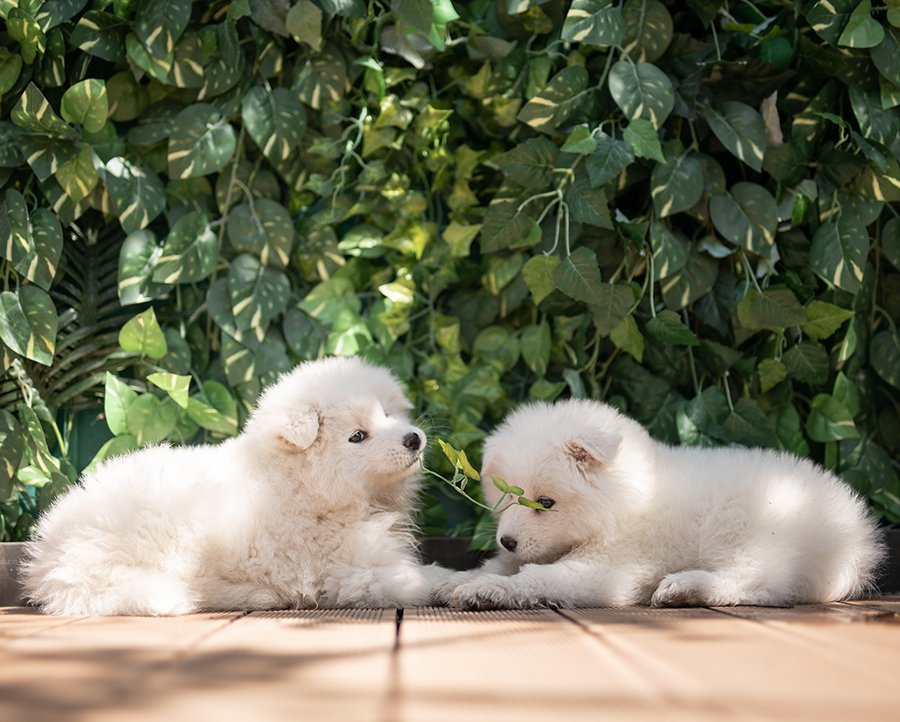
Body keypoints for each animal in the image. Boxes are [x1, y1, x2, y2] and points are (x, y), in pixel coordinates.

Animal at [23, 356, 447, 615]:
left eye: (388, 414)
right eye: (358, 436)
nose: (414, 439)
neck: (306, 487)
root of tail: (51, 561)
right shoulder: (350, 569)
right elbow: (418, 577)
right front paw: (446, 581)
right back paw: (262, 594)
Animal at [434, 399, 885, 609]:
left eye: (545, 502)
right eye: (507, 497)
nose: (507, 540)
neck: (627, 502)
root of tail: (854, 535)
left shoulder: (610, 568)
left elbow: (537, 577)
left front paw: (486, 590)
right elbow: (499, 566)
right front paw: (451, 579)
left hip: (752, 530)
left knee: (758, 583)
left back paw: (684, 588)